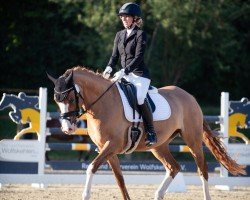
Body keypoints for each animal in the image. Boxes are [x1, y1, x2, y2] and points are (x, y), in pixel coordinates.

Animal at [47, 67, 245, 200]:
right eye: (56, 100)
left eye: (70, 98)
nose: (68, 129)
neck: (104, 103)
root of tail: (190, 97)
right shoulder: (108, 150)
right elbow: (120, 179)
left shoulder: (112, 146)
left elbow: (91, 167)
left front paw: (85, 194)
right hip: (159, 146)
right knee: (174, 167)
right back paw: (158, 194)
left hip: (193, 140)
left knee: (202, 169)